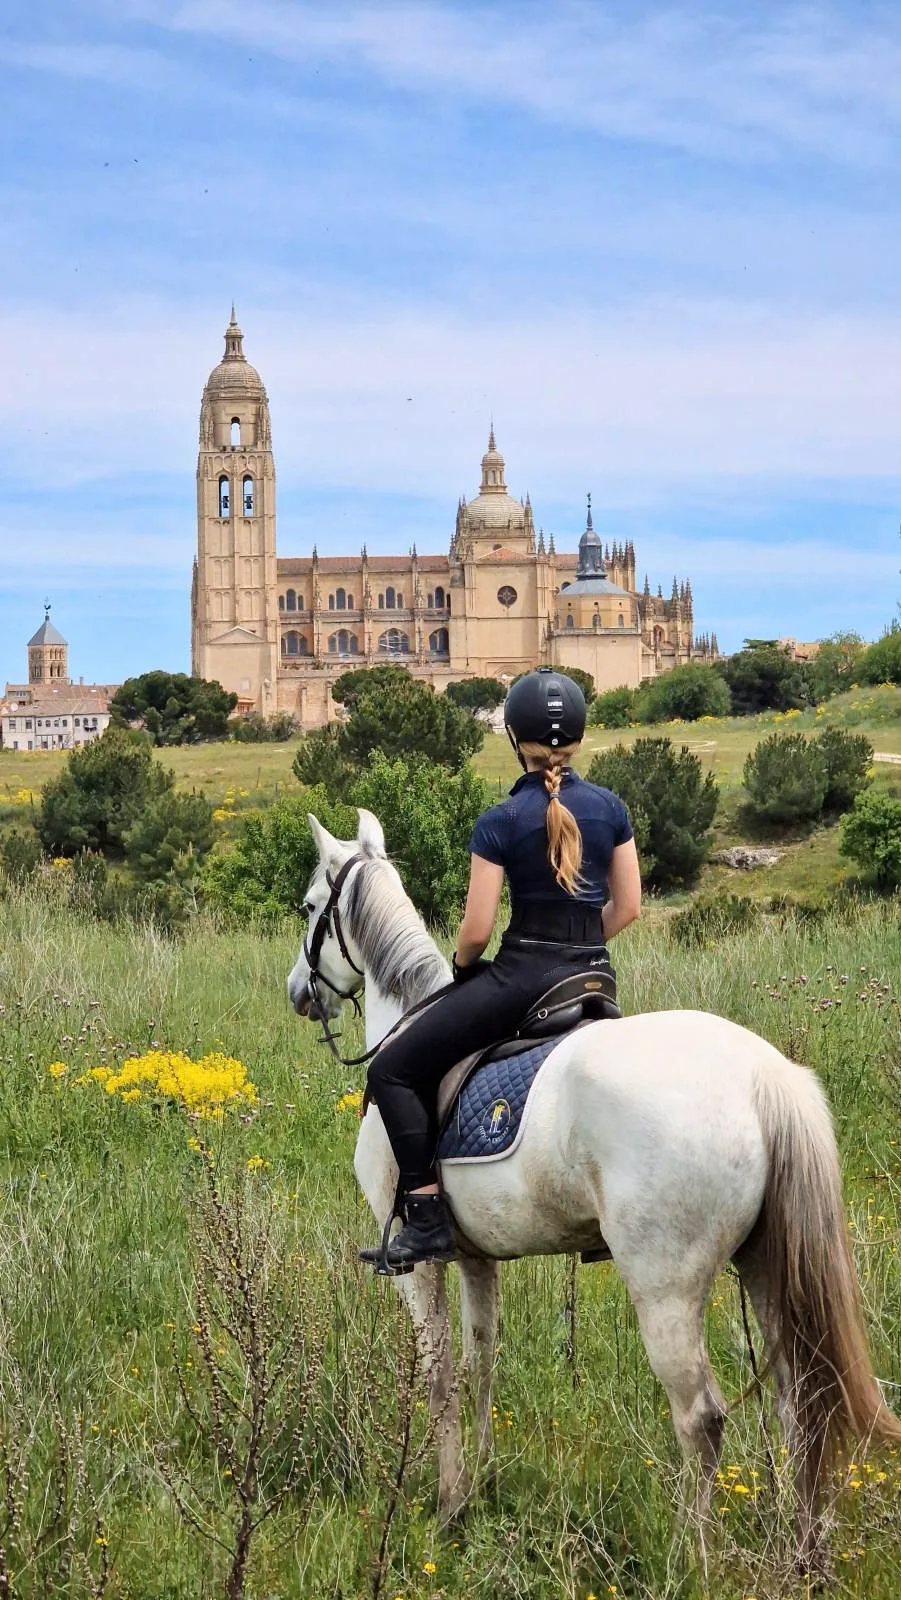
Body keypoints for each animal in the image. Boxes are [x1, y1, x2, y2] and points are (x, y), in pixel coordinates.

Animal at [287, 807, 900, 1569]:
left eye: (311, 905)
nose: (298, 992)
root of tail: (765, 1078)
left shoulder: (417, 1262)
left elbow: (438, 1375)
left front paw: (449, 1504)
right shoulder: (475, 1257)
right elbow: (481, 1362)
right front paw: (483, 1486)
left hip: (665, 1287)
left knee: (702, 1417)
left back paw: (690, 1559)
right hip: (764, 1266)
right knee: (798, 1403)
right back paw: (802, 1554)